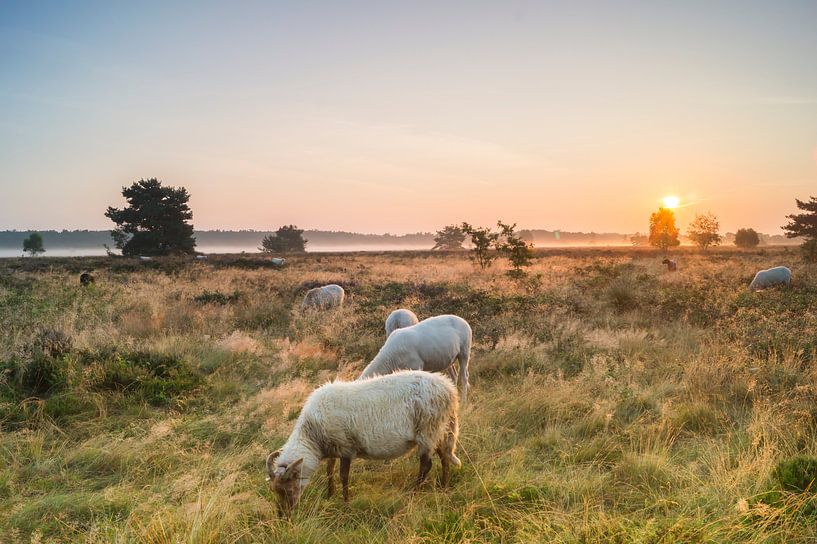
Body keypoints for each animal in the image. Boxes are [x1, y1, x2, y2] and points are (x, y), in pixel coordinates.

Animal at [266, 370, 460, 516]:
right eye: (275, 491)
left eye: (288, 490)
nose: (283, 517)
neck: (313, 434)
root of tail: (449, 388)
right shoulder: (333, 447)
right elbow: (329, 472)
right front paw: (329, 495)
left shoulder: (345, 447)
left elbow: (343, 476)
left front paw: (345, 503)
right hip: (438, 431)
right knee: (444, 456)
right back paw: (444, 487)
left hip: (428, 430)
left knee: (426, 465)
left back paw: (413, 494)